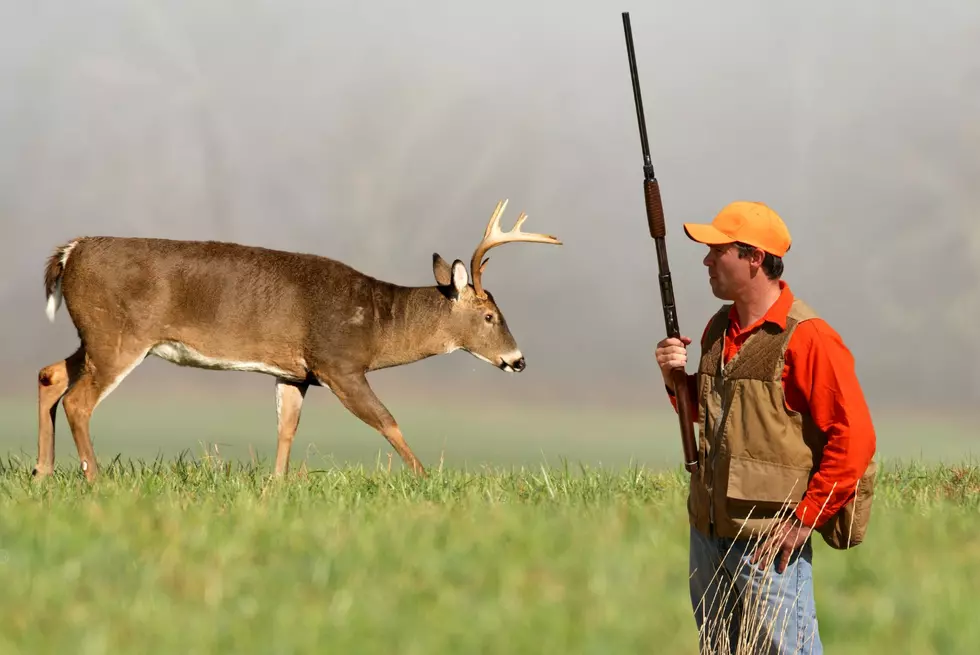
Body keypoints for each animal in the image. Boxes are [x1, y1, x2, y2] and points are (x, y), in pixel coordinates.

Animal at [34, 199, 562, 482]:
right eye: (491, 315)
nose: (519, 361)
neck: (378, 323)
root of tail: (72, 250)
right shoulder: (338, 363)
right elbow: (388, 421)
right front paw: (426, 479)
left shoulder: (295, 373)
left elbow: (286, 428)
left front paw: (275, 485)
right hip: (119, 334)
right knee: (79, 399)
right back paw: (95, 479)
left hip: (95, 334)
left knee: (50, 374)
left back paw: (43, 471)